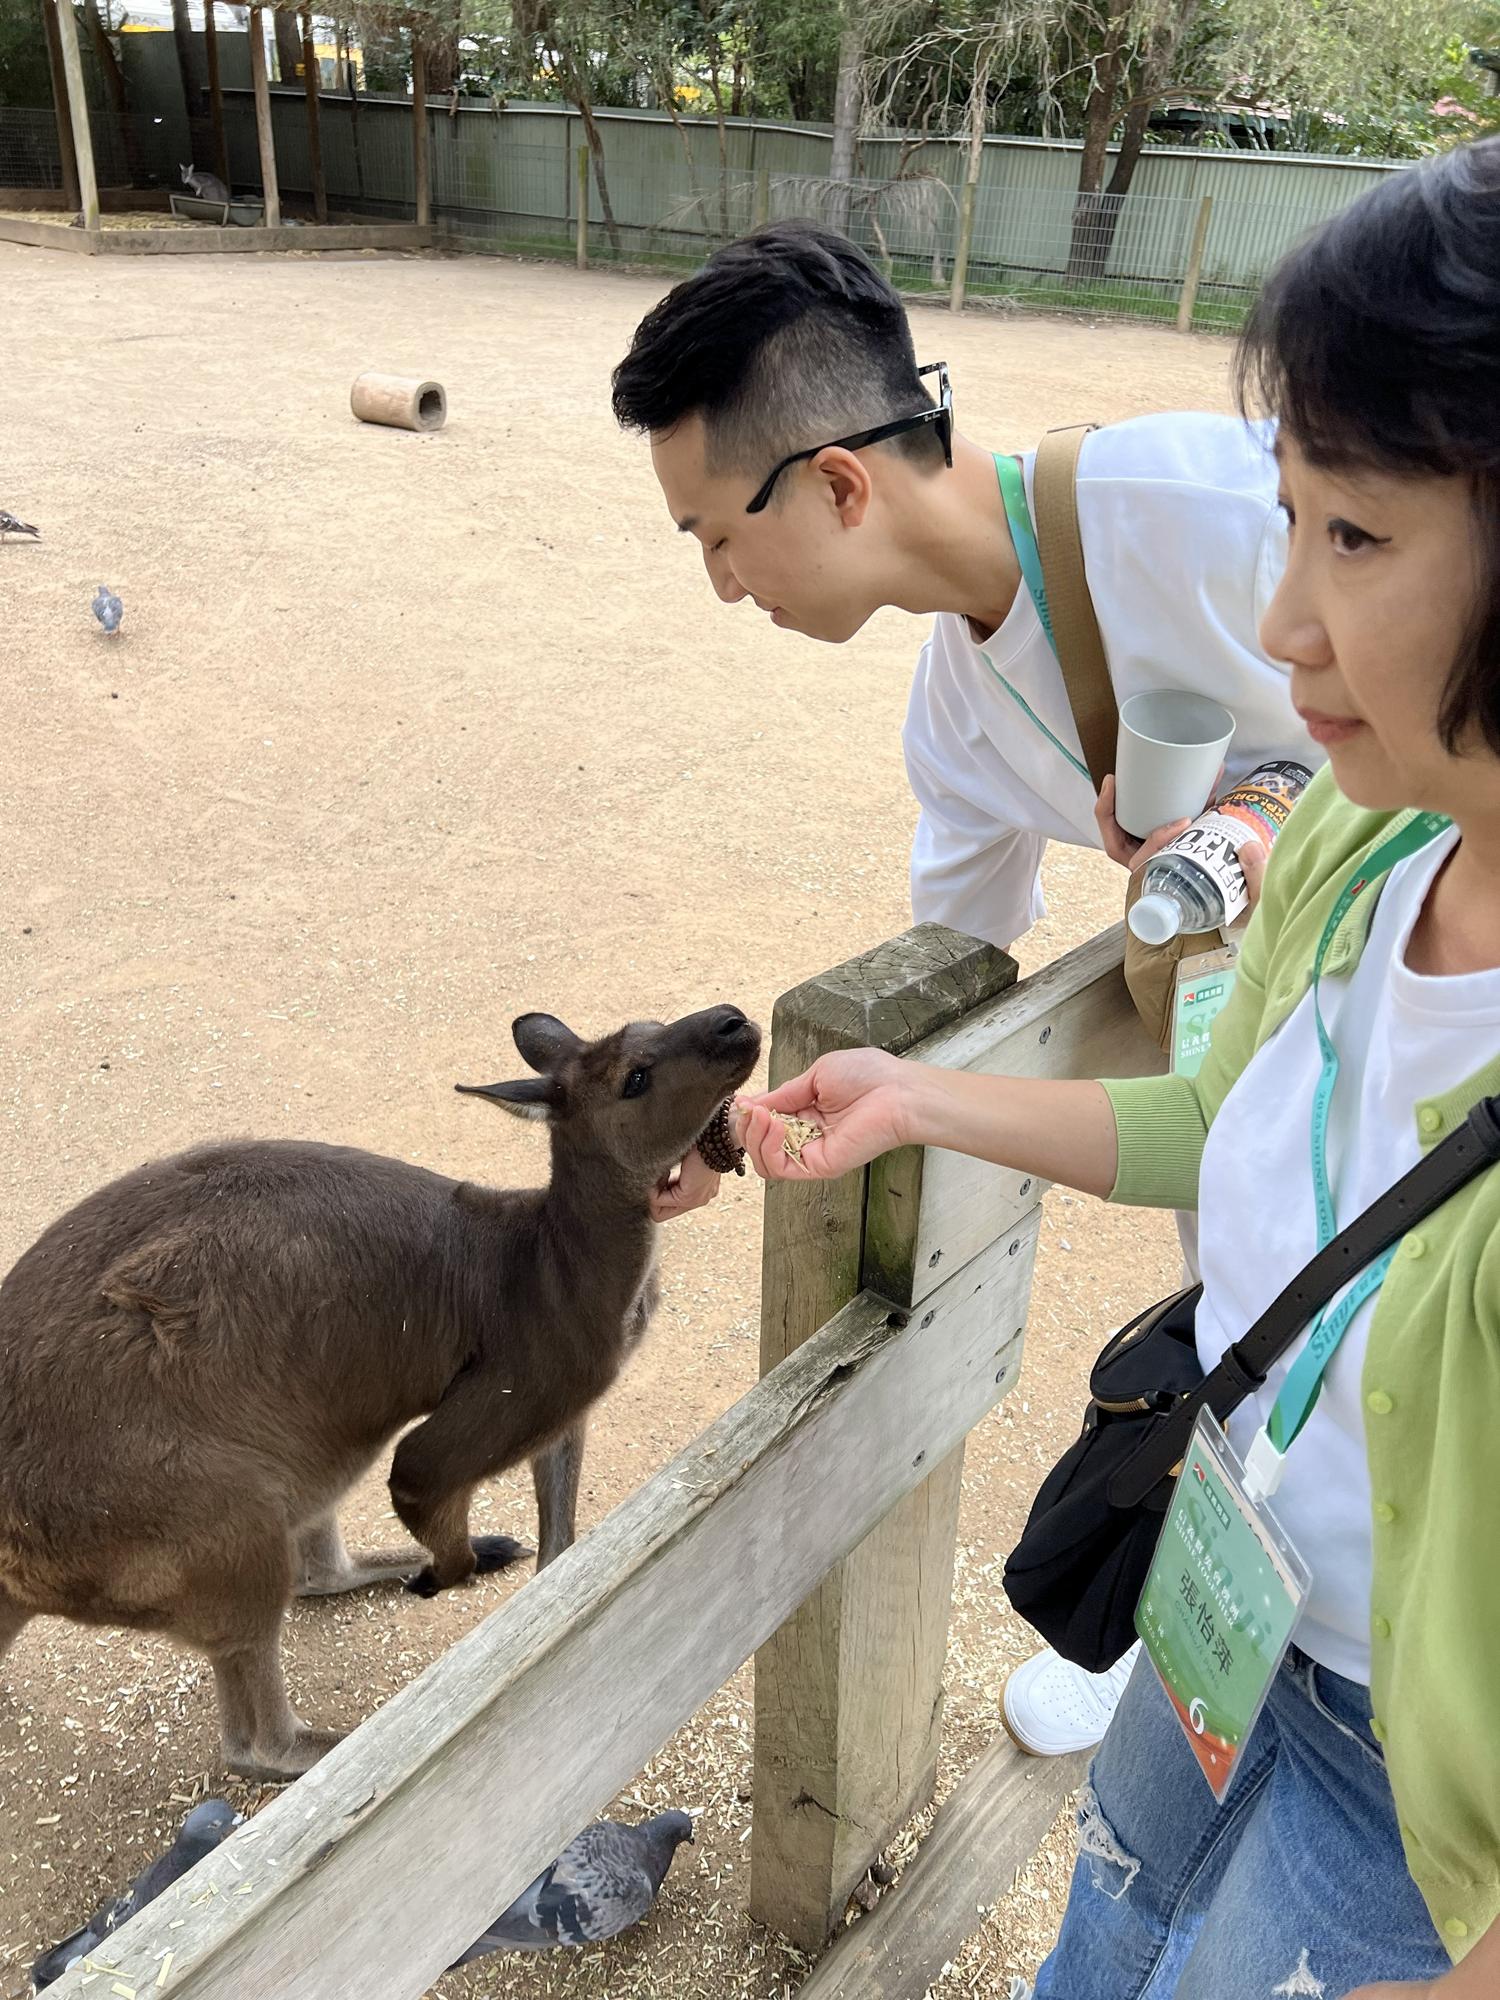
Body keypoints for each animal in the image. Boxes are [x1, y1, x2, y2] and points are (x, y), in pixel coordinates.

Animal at [0, 1004, 760, 1782]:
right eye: (636, 1078)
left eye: (654, 1024)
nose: (733, 1021)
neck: (545, 1262)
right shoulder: (515, 1390)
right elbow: (421, 1472)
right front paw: (444, 1577)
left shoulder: (562, 1416)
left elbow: (560, 1539)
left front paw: (538, 1586)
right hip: (197, 1507)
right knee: (253, 1736)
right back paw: (352, 1742)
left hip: (305, 1458)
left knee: (311, 1576)